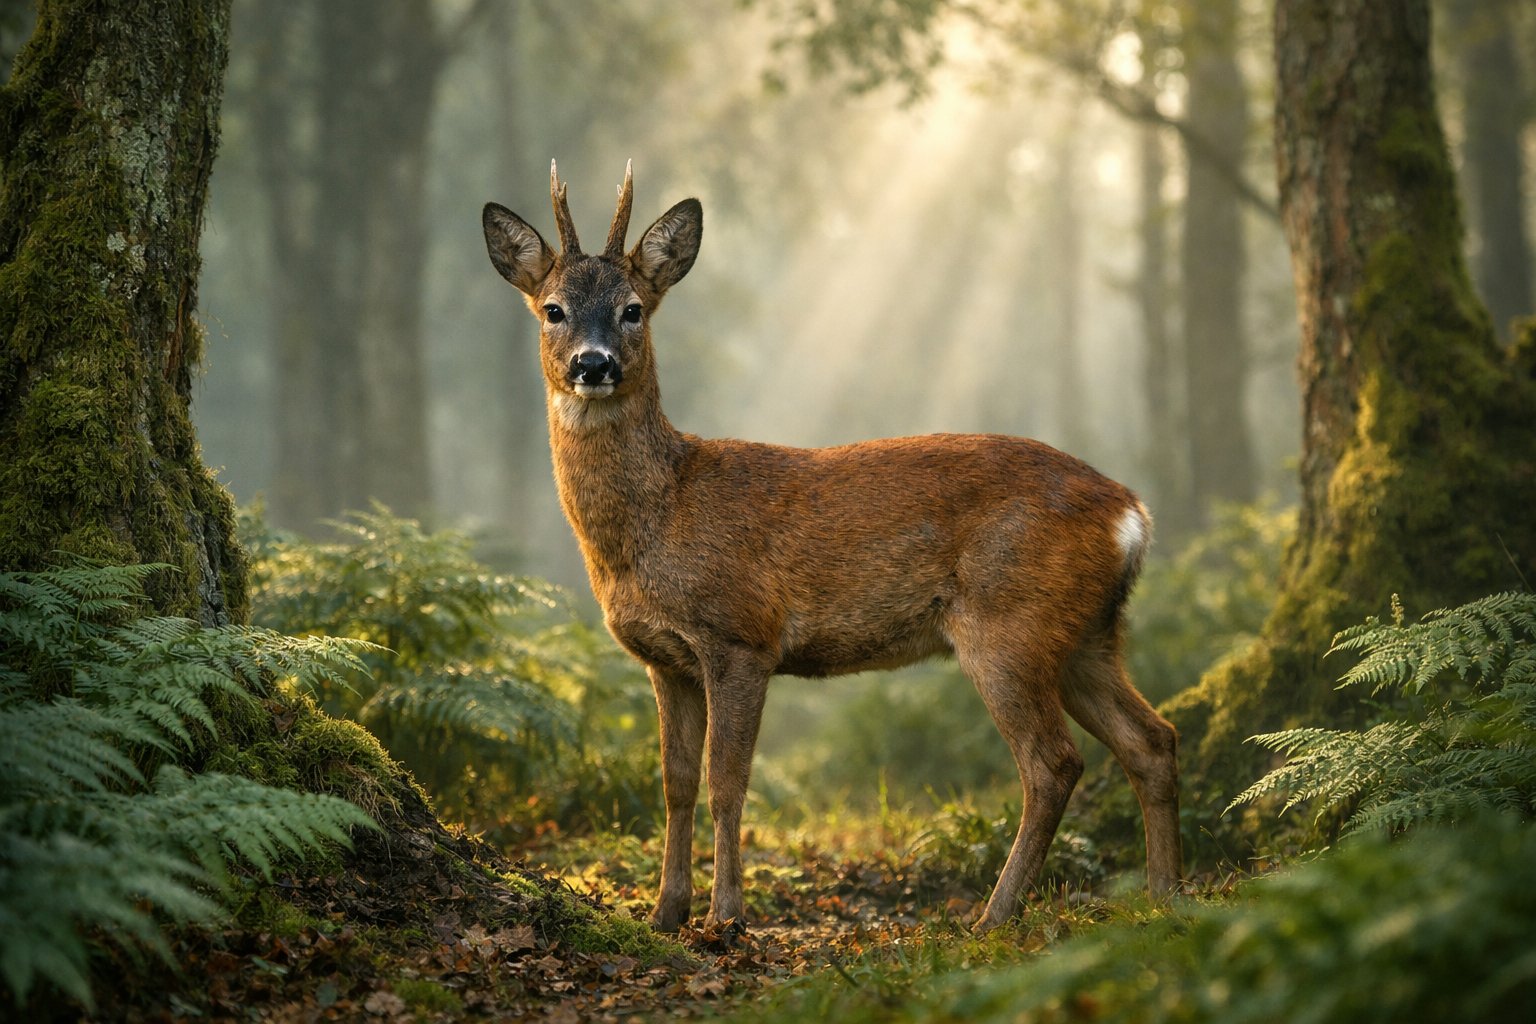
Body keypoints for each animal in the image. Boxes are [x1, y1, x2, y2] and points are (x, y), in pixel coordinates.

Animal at [481, 162, 1181, 934]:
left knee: (1053, 762)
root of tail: (1130, 511)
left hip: (1010, 623)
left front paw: (726, 917)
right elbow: (675, 783)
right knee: (1153, 739)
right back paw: (1164, 896)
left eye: (633, 309)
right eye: (553, 309)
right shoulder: (666, 659)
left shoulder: (741, 635)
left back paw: (993, 917)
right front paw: (665, 914)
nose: (594, 363)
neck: (658, 518)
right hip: (1087, 633)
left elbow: (728, 782)